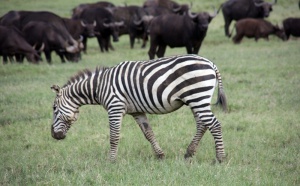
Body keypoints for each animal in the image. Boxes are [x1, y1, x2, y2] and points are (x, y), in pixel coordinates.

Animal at [51, 54, 227, 162]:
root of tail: (210, 63)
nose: (53, 135)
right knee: (202, 125)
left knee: (215, 125)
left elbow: (114, 136)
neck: (99, 87)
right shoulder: (137, 111)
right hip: (196, 100)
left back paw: (220, 158)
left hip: (197, 97)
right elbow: (148, 133)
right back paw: (189, 153)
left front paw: (111, 160)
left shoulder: (115, 108)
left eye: (54, 108)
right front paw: (160, 155)